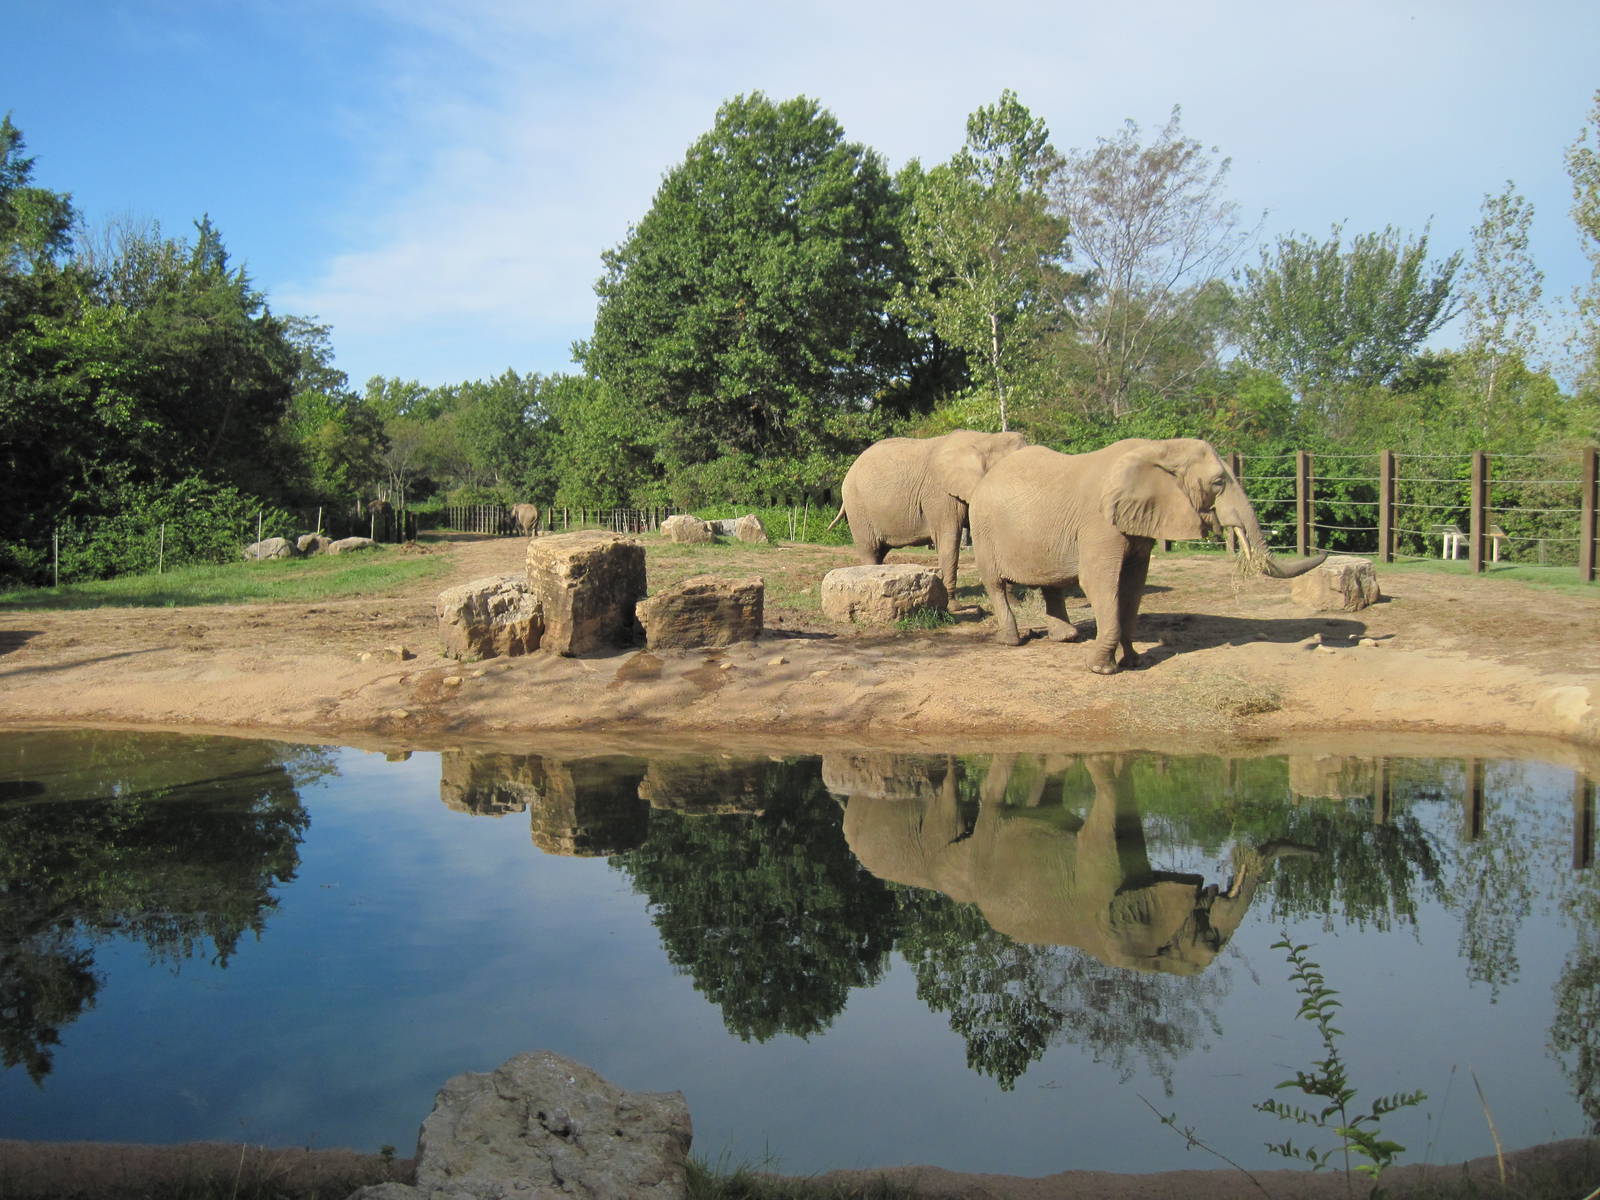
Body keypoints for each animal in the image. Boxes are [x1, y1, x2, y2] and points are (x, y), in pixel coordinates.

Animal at [826, 429, 1028, 592]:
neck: (986, 439)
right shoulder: (940, 495)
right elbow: (948, 539)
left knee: (879, 551)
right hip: (857, 507)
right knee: (869, 549)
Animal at [968, 437, 1328, 674]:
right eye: (1217, 482)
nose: (1324, 550)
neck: (1160, 448)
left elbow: (1133, 585)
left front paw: (1136, 662)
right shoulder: (1100, 523)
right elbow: (1098, 582)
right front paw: (1102, 670)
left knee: (1051, 583)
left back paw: (1067, 639)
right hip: (983, 527)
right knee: (995, 584)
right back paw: (1011, 641)